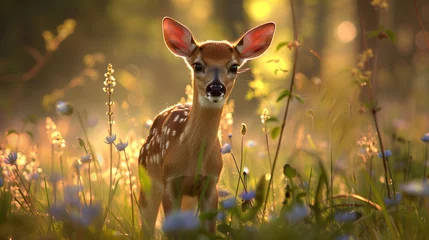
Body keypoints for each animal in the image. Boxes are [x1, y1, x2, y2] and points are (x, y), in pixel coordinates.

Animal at [139, 17, 276, 236]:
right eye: (197, 65)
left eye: (234, 66)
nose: (216, 88)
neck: (193, 158)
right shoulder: (170, 181)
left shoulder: (211, 184)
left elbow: (208, 231)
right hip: (147, 179)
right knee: (146, 226)